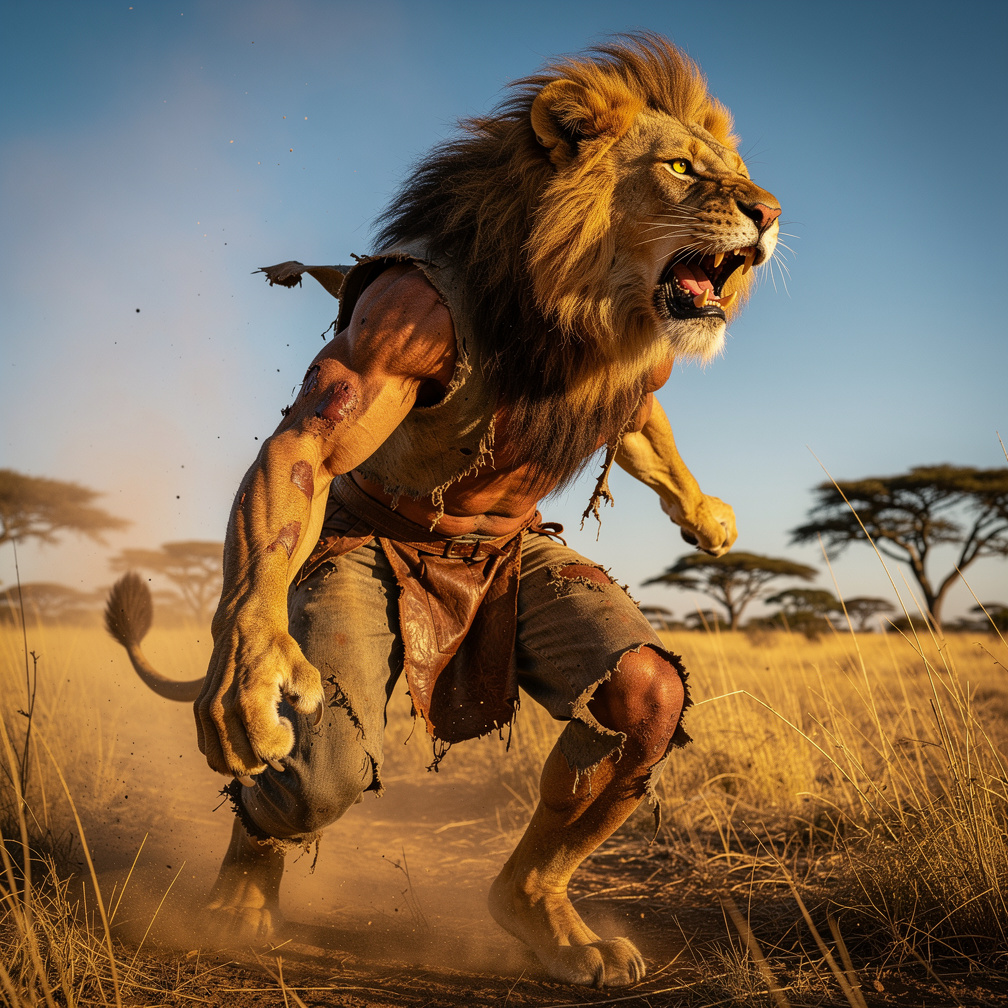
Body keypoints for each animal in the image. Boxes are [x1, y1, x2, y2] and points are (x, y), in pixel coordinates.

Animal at [107, 33, 779, 987]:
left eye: (739, 173)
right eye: (683, 168)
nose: (769, 211)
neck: (570, 303)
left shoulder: (641, 362)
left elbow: (646, 426)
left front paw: (707, 518)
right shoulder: (399, 323)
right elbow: (308, 444)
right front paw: (251, 667)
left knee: (635, 707)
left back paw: (543, 917)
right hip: (334, 612)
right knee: (316, 775)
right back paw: (239, 901)